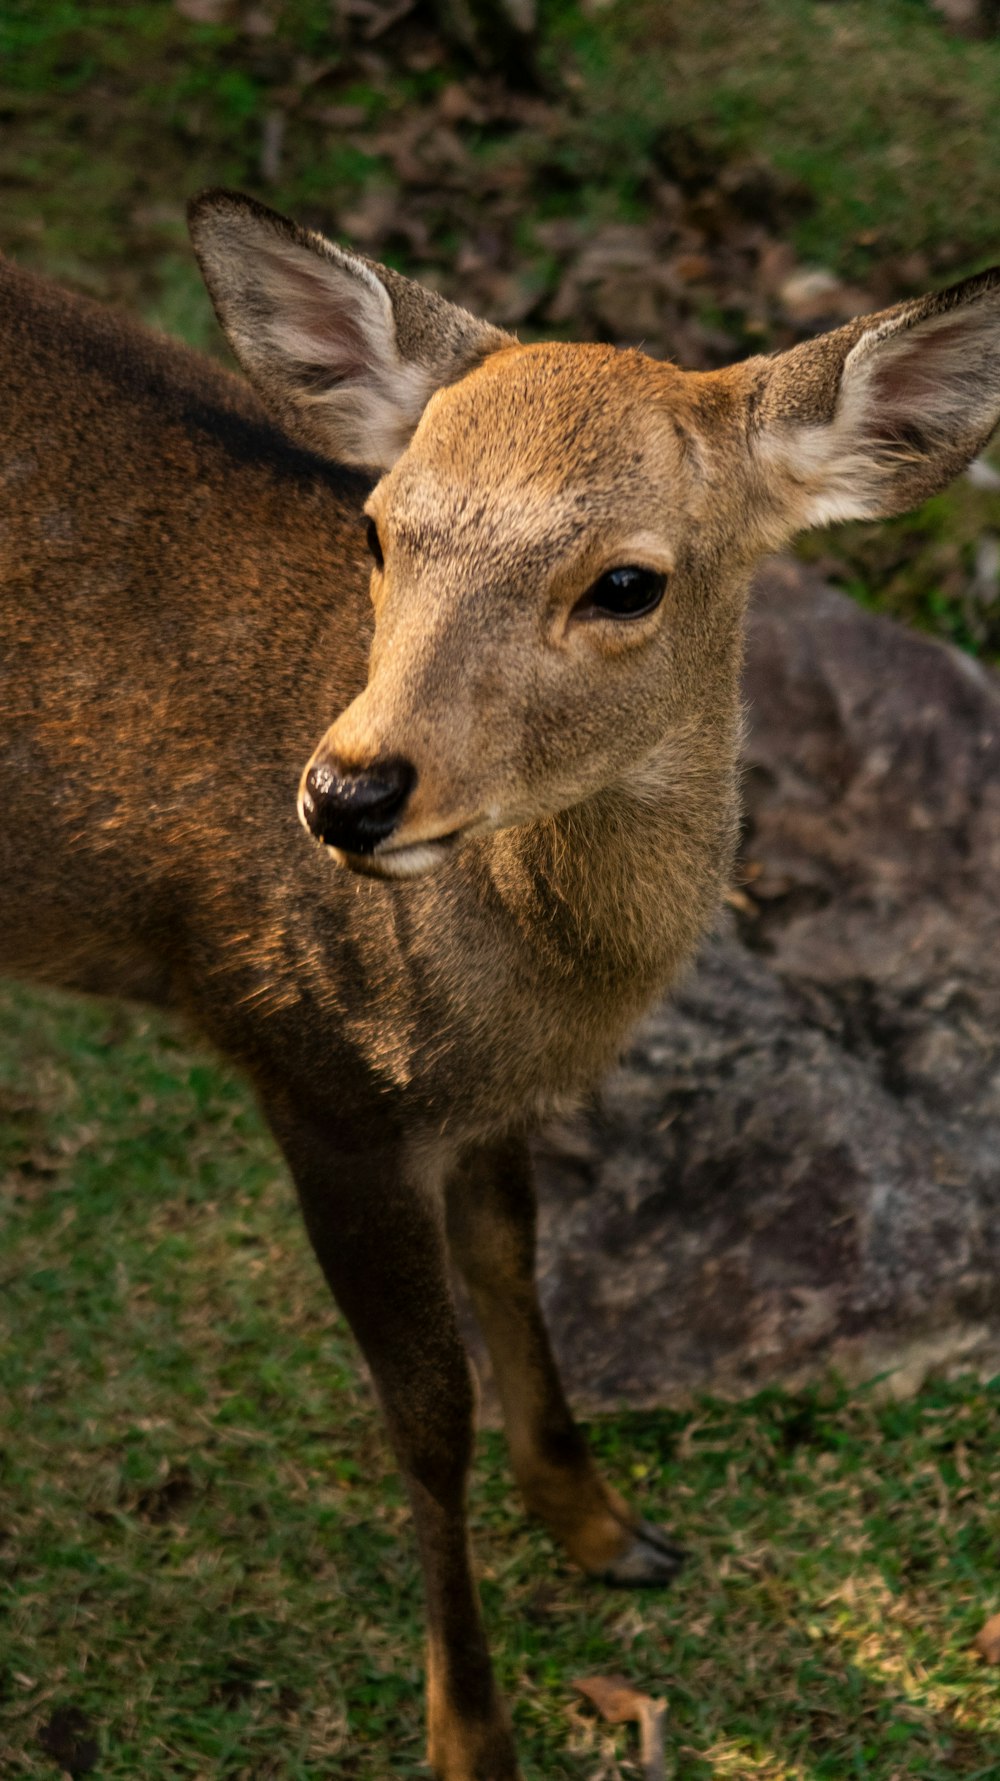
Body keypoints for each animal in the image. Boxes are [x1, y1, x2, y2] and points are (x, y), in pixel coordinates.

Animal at [5, 187, 998, 1773]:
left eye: (627, 580)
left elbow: (517, 1266)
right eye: (378, 528)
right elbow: (424, 1417)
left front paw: (607, 1528)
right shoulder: (310, 1070)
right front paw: (471, 1731)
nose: (348, 792)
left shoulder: (484, 1102)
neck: (512, 992)